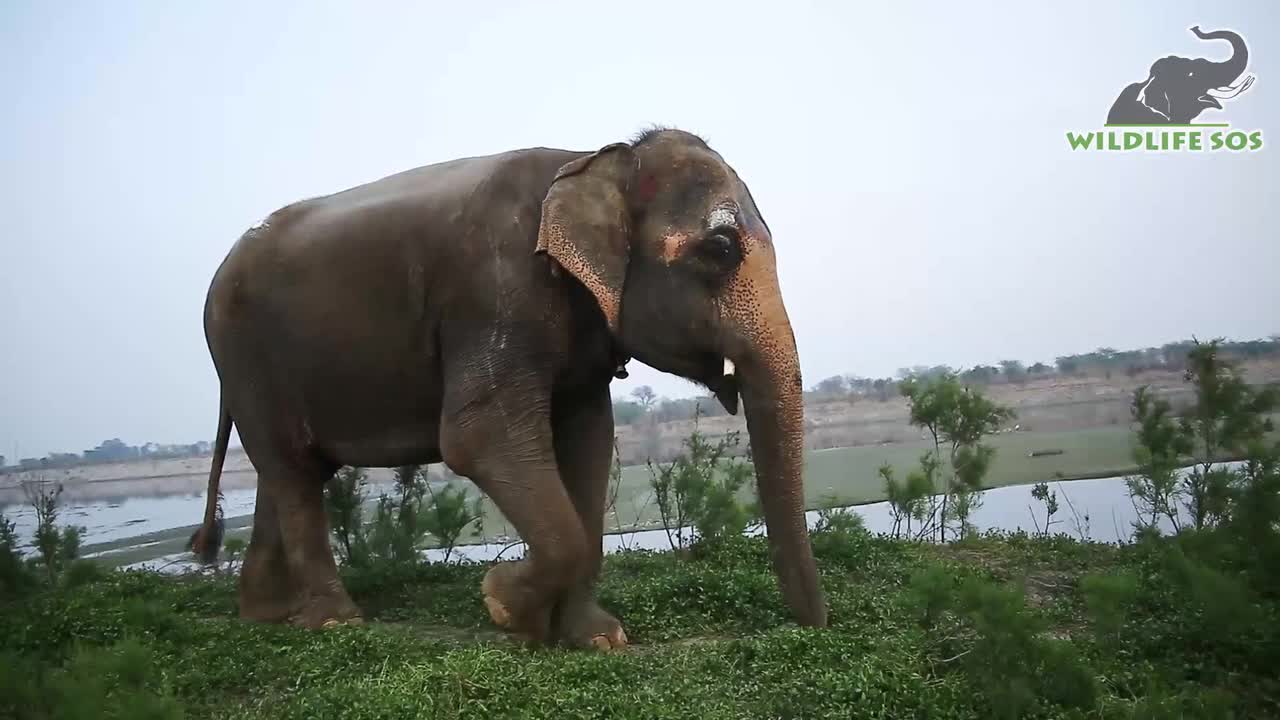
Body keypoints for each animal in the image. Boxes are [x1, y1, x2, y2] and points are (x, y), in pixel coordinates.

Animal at [186, 126, 829, 648]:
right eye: (720, 249)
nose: (813, 626)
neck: (594, 158)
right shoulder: (496, 291)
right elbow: (478, 436)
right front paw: (503, 606)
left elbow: (590, 441)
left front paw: (597, 638)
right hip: (243, 354)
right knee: (291, 469)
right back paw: (336, 623)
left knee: (286, 471)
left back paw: (268, 614)